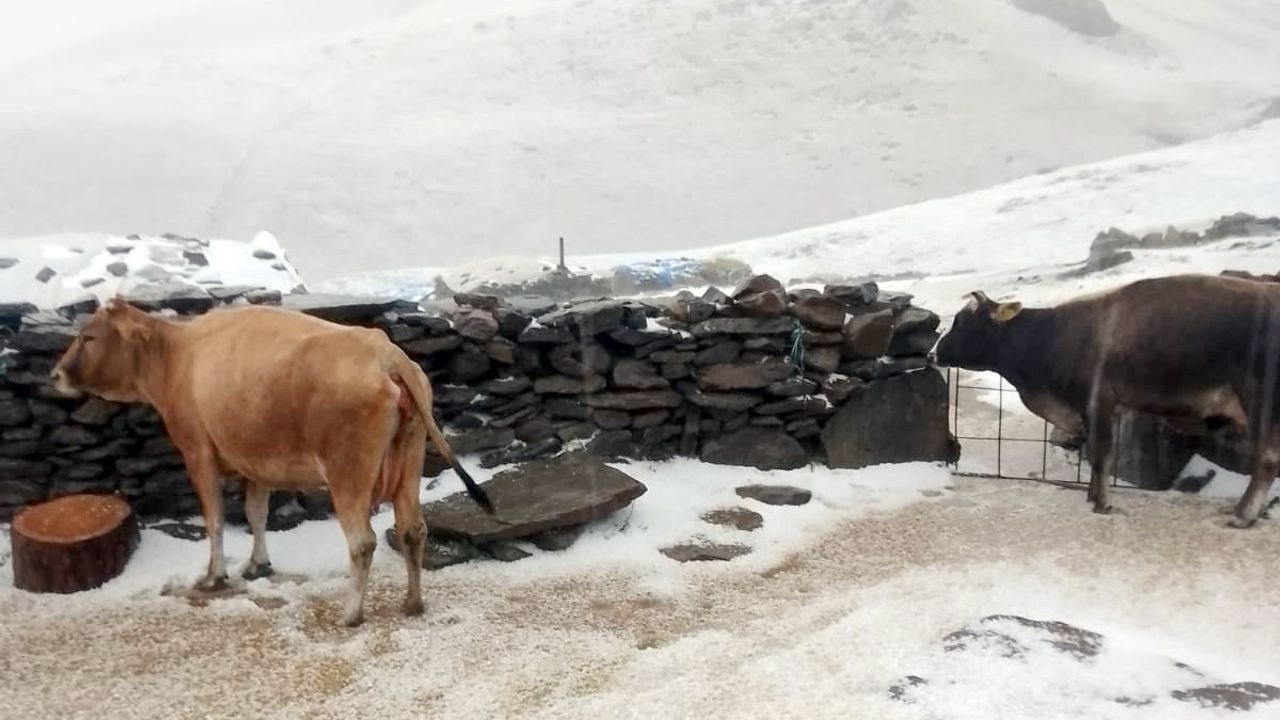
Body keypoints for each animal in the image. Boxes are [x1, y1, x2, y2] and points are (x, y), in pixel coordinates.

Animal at [49, 297, 491, 622]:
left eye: (88, 337)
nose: (55, 375)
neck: (176, 356)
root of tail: (383, 351)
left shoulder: (197, 451)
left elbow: (215, 520)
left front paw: (215, 575)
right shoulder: (254, 461)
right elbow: (256, 513)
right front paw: (258, 564)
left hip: (347, 471)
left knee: (362, 541)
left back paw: (351, 614)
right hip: (409, 459)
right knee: (413, 530)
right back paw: (412, 603)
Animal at [931, 271, 1280, 525]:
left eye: (964, 322)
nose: (934, 353)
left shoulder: (1099, 400)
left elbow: (1101, 454)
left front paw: (1101, 503)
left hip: (1260, 401)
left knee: (1267, 460)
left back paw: (1242, 515)